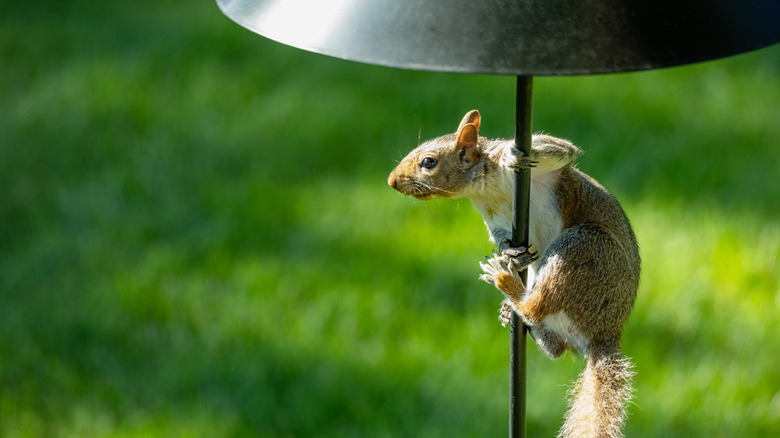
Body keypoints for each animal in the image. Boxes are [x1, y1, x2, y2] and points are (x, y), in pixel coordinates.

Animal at [388, 110, 640, 438]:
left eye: (428, 162)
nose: (392, 181)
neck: (485, 188)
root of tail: (605, 334)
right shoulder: (494, 218)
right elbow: (502, 237)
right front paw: (510, 251)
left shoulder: (549, 169)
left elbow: (563, 150)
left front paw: (510, 155)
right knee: (555, 345)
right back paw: (519, 314)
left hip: (584, 248)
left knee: (537, 306)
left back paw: (507, 284)